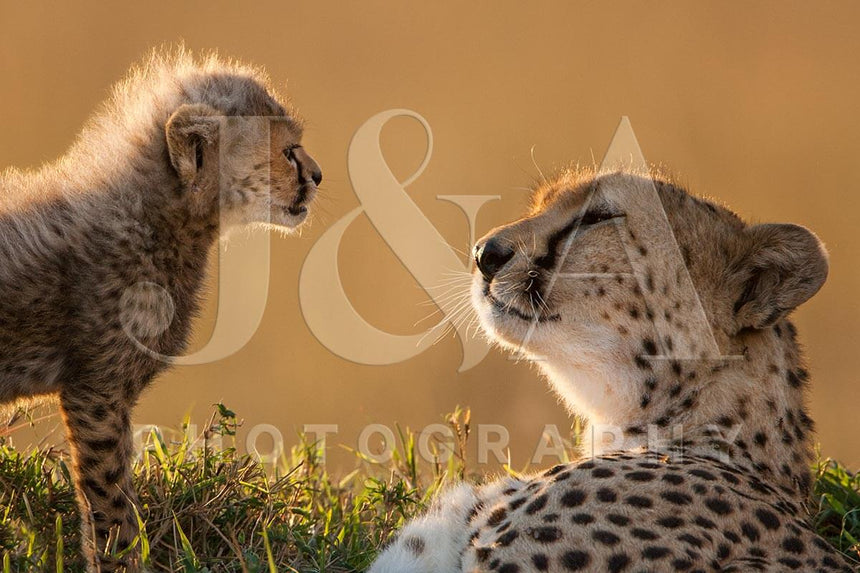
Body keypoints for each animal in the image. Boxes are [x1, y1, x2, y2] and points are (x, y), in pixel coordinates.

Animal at [0, 48, 322, 571]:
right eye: (288, 150)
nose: (316, 175)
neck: (156, 216)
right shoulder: (96, 390)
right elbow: (112, 504)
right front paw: (122, 561)